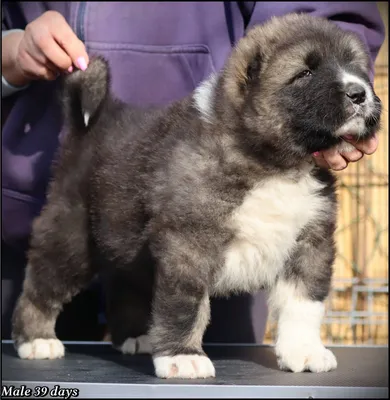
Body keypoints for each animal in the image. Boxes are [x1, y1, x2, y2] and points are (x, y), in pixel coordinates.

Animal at [11, 13, 380, 378]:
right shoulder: (189, 242)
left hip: (124, 237)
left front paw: (304, 351)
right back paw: (37, 339)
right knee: (42, 285)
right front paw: (182, 357)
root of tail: (89, 126)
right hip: (71, 238)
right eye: (304, 73)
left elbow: (303, 303)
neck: (271, 162)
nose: (359, 93)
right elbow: (184, 304)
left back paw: (135, 336)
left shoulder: (310, 242)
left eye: (355, 66)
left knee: (124, 283)